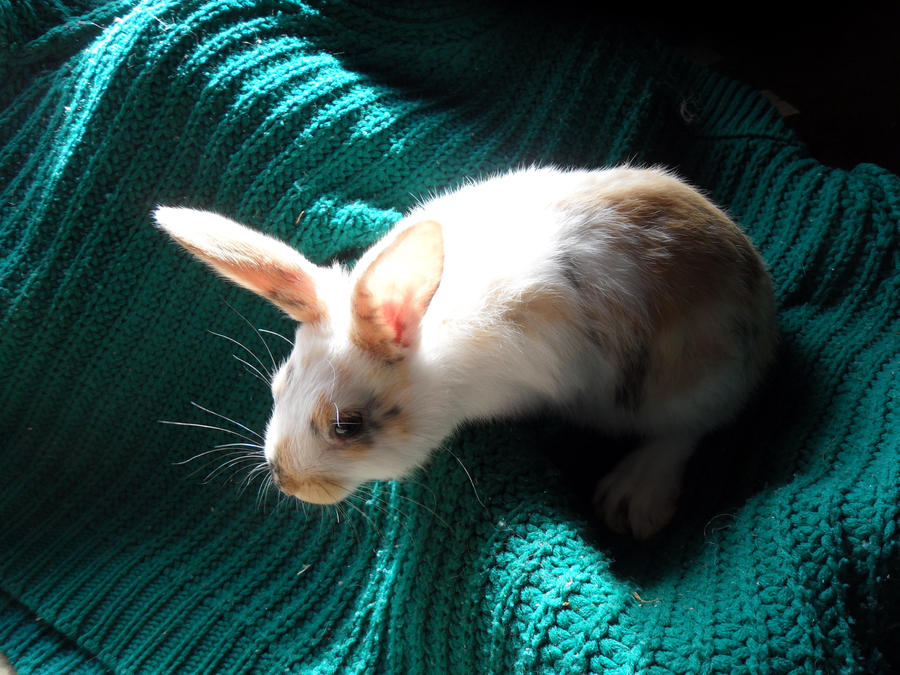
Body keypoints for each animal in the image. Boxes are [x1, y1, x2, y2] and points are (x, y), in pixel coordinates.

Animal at [155, 166, 777, 539]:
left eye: (347, 426)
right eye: (277, 387)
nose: (284, 478)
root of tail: (761, 302)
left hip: (689, 385)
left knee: (688, 429)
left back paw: (632, 498)